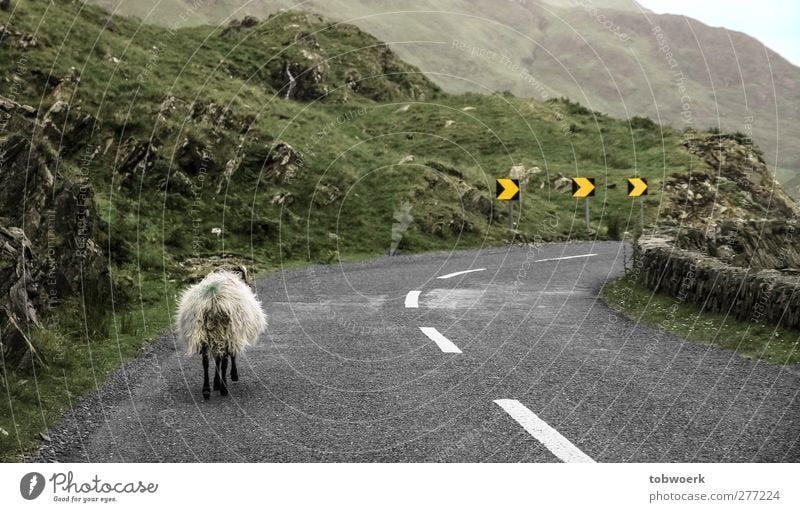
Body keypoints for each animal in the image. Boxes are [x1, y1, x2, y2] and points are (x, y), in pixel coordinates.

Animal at [175, 264, 266, 400]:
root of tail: (214, 300)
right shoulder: (232, 335)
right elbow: (229, 357)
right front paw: (231, 377)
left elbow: (217, 359)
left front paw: (216, 383)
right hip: (226, 331)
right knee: (225, 361)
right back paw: (224, 388)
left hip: (203, 333)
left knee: (205, 361)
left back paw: (206, 390)